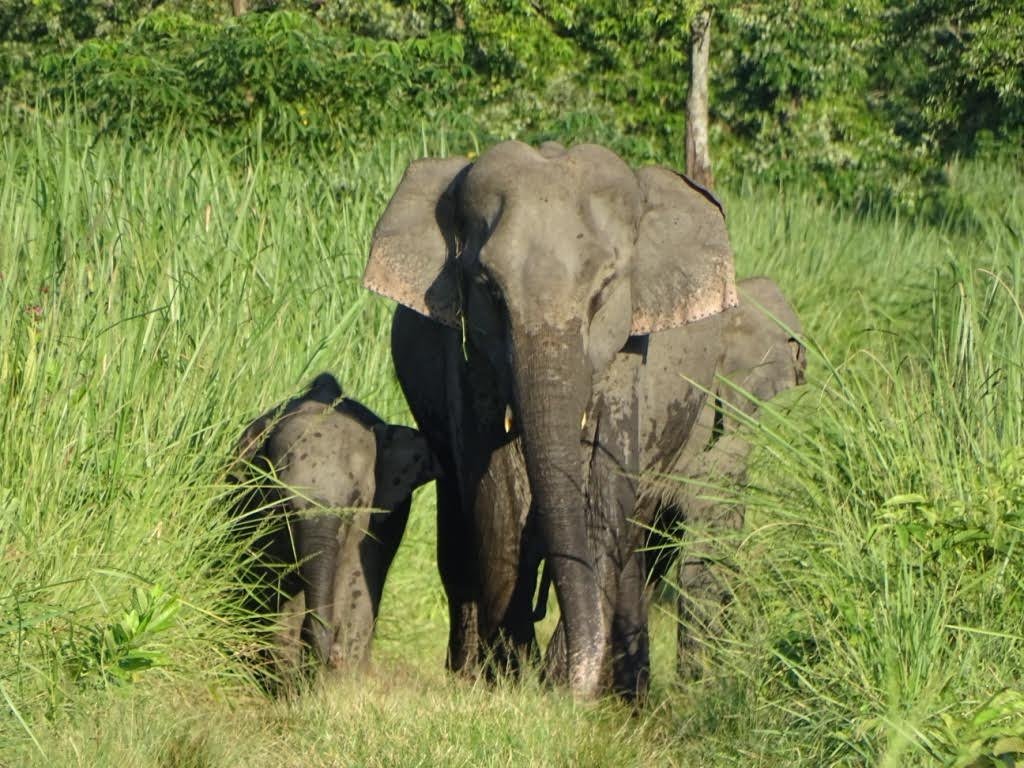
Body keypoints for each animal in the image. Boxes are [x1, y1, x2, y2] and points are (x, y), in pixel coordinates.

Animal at [229, 372, 440, 686]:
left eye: (356, 502)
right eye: (283, 502)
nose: (332, 658)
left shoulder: (374, 530)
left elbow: (356, 592)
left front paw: (339, 684)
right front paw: (295, 683)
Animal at [364, 139, 737, 699]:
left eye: (604, 289)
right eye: (489, 289)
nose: (555, 679)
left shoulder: (630, 352)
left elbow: (607, 486)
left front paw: (562, 683)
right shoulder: (468, 358)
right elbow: (494, 493)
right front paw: (511, 678)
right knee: (457, 537)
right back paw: (470, 674)